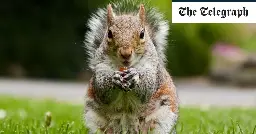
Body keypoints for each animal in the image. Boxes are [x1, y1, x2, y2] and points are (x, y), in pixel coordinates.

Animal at [83, 0, 178, 133]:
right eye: (109, 33)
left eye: (142, 34)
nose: (126, 53)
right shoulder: (100, 68)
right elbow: (102, 88)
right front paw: (114, 79)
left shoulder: (153, 69)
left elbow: (148, 86)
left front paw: (135, 76)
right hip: (95, 121)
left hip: (162, 119)